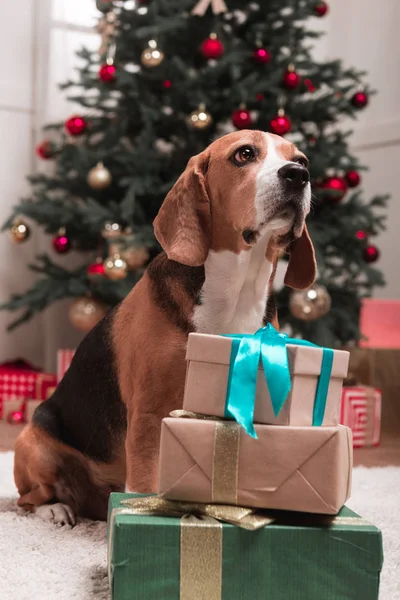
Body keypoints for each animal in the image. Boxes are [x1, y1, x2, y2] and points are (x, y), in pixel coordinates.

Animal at [13, 129, 316, 524]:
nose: (297, 175)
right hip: (34, 444)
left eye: (302, 160)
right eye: (245, 154)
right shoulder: (150, 416)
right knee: (30, 498)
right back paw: (56, 509)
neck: (237, 289)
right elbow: (145, 481)